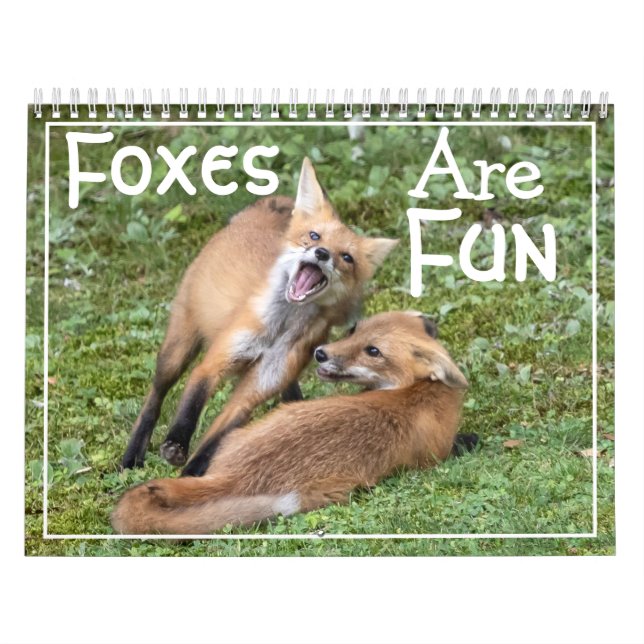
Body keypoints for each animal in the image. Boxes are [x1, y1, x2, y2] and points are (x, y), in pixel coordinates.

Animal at [112, 310, 470, 535]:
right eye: (354, 329)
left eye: (373, 351)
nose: (321, 353)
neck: (420, 391)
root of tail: (235, 478)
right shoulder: (438, 453)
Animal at [120, 157, 398, 475]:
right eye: (314, 236)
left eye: (347, 257)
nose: (322, 253)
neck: (279, 328)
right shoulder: (214, 363)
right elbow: (191, 406)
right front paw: (176, 445)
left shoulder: (253, 391)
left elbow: (212, 445)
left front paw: (190, 477)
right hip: (177, 350)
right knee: (154, 398)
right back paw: (132, 455)